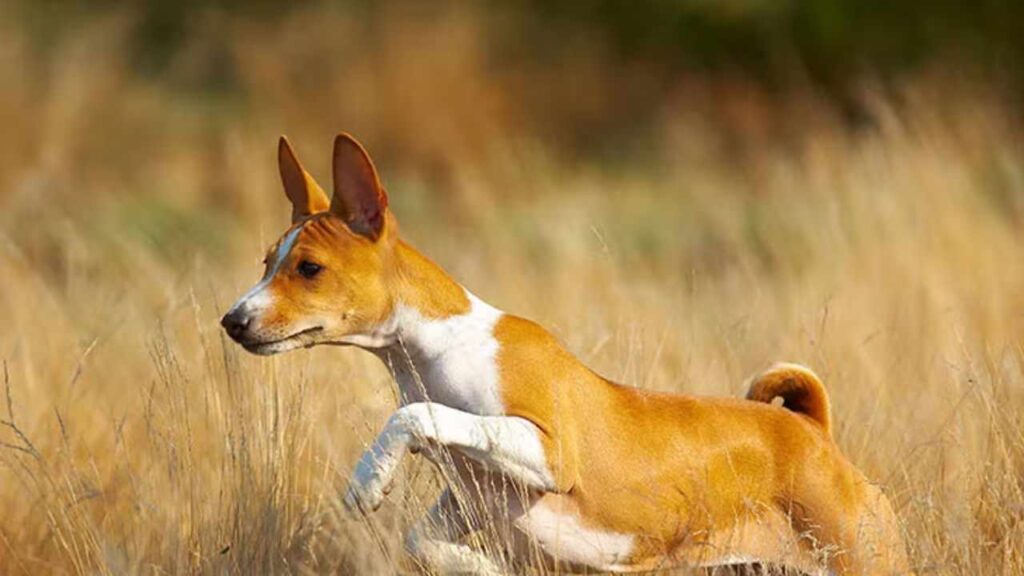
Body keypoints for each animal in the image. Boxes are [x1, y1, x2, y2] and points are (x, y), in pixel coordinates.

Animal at [222, 132, 913, 569]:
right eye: (266, 262)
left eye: (309, 269)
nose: (232, 320)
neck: (438, 352)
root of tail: (814, 432)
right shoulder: (471, 502)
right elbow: (424, 542)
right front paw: (483, 569)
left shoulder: (549, 451)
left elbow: (415, 415)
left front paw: (368, 480)